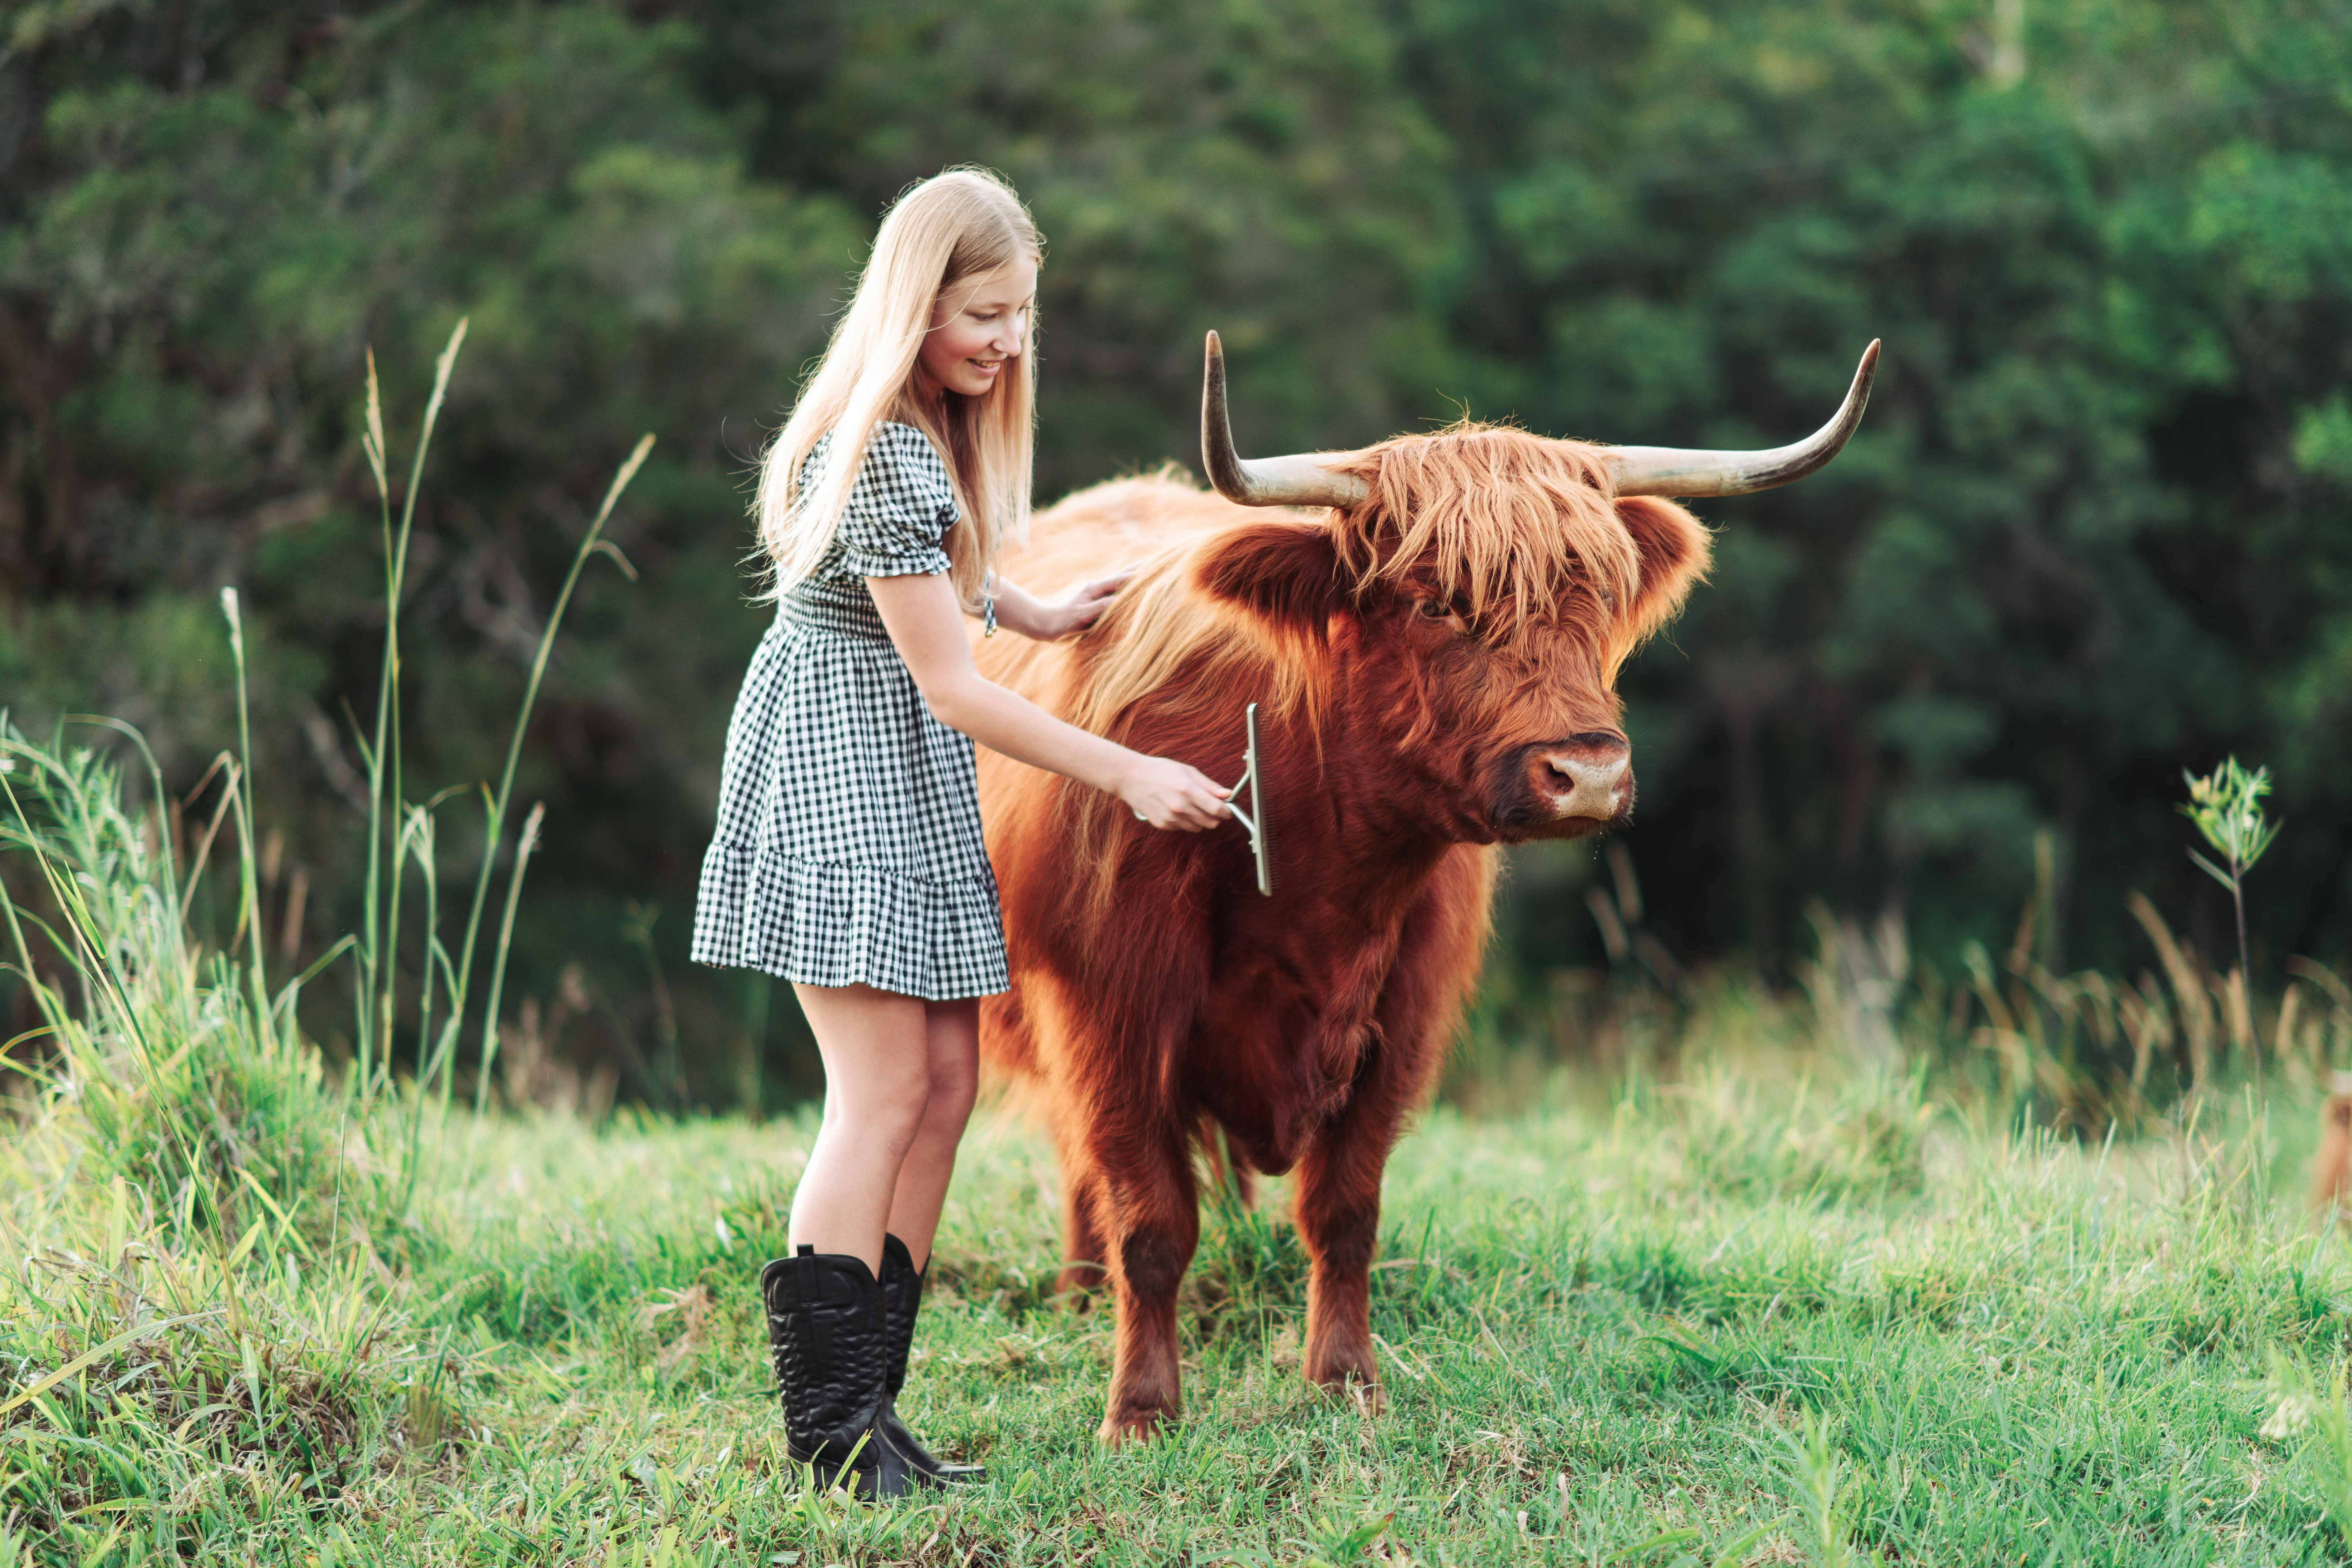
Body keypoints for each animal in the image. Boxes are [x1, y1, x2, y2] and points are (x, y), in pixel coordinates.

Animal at [974, 332, 1878, 1444]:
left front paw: (1345, 1380)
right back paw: (1077, 1291)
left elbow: (1345, 1210)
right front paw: (1141, 1410)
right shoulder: (1113, 1011)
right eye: (1437, 601)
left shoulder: (1401, 1016)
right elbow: (1148, 1214)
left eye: (1598, 593)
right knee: (1084, 1162)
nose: (1587, 774)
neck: (1318, 864)